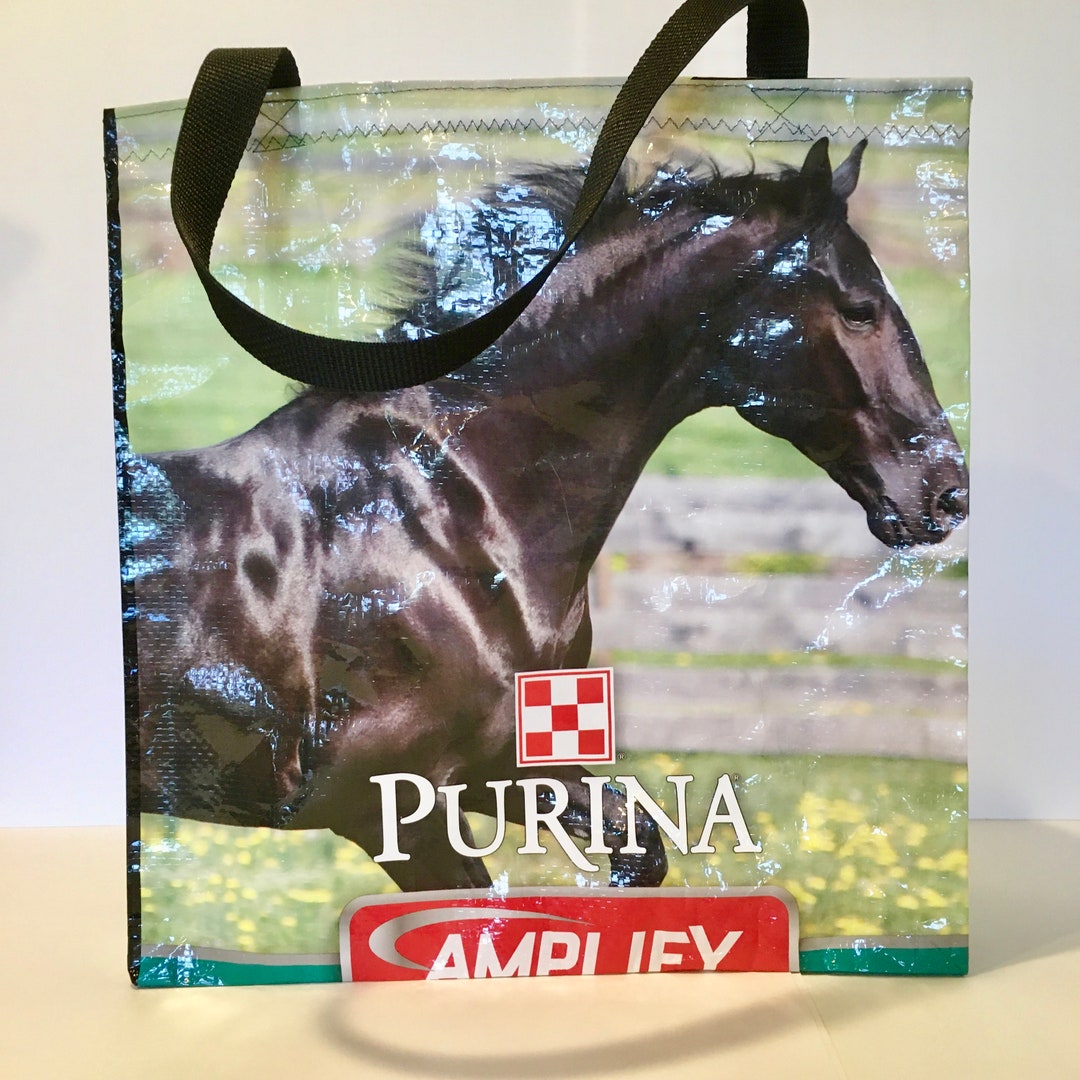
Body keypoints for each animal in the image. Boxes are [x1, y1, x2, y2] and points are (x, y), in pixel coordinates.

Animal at [124, 137, 968, 891]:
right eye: (858, 309)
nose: (947, 492)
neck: (444, 522)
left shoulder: (507, 768)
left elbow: (640, 844)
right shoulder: (383, 805)